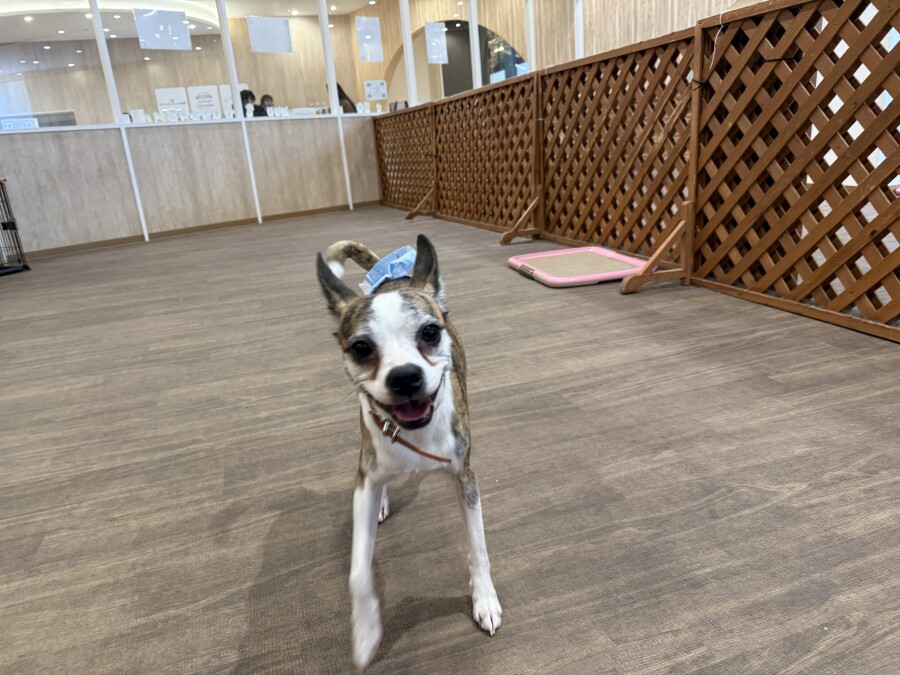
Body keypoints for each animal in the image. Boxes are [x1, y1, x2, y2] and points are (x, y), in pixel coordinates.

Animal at [316, 234, 502, 669]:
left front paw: (485, 599)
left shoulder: (466, 476)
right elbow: (357, 571)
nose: (404, 376)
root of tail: (394, 274)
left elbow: (478, 546)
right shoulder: (365, 478)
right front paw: (366, 631)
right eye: (361, 348)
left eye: (430, 332)